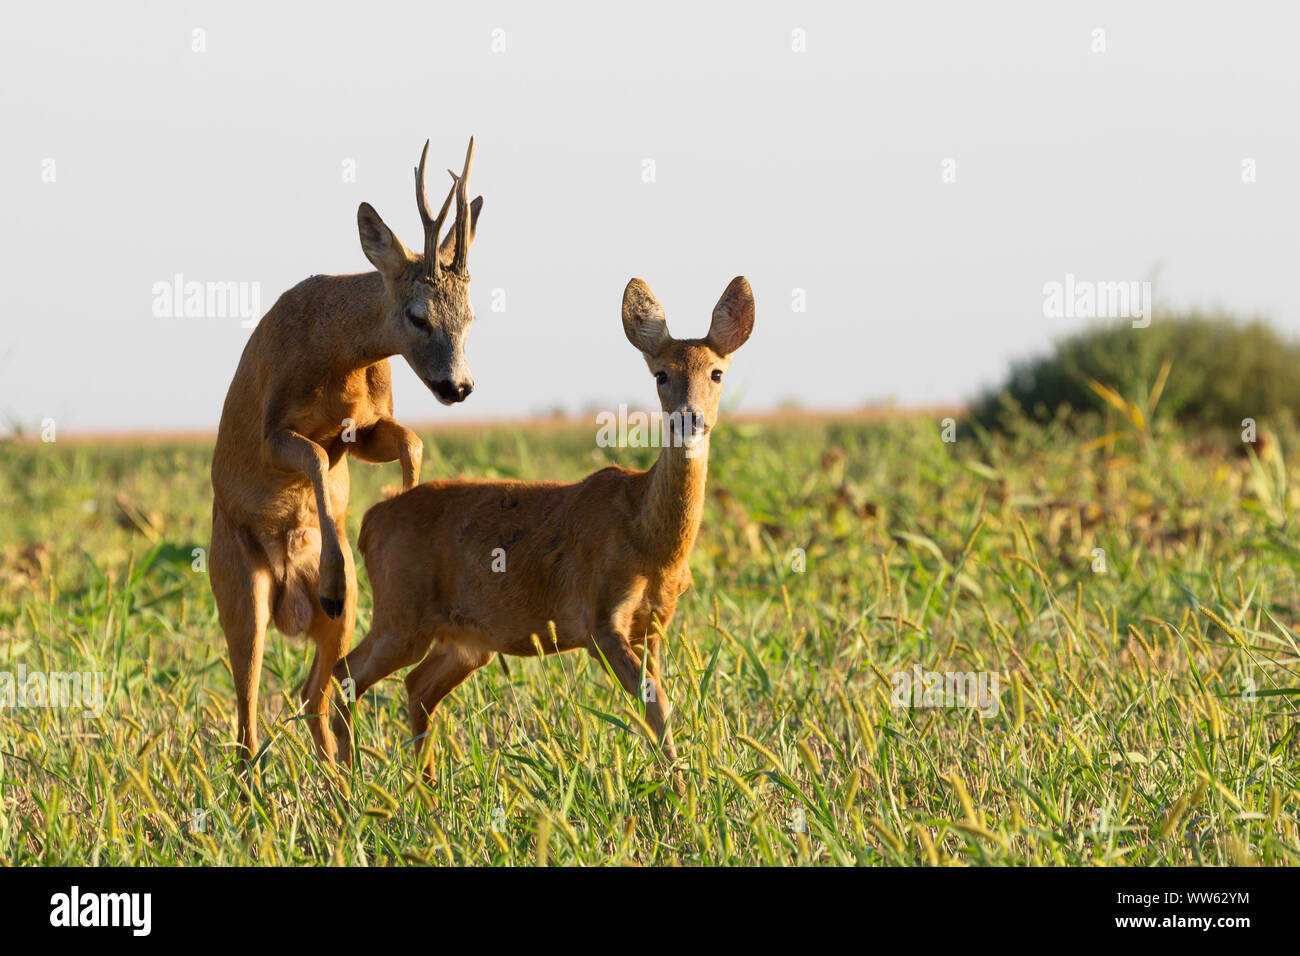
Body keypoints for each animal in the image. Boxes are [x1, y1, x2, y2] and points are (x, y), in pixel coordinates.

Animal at [209, 137, 484, 774]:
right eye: (417, 314)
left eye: (471, 315)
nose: (459, 387)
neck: (336, 357)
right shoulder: (273, 431)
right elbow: (311, 458)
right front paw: (333, 573)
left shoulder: (362, 430)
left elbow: (411, 441)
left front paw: (410, 511)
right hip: (237, 587)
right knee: (247, 710)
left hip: (351, 611)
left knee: (314, 691)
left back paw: (342, 780)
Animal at [330, 276, 755, 781]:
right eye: (661, 375)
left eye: (717, 373)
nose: (691, 417)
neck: (649, 540)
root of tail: (371, 521)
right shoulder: (599, 619)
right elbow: (655, 705)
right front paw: (679, 786)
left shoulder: (654, 623)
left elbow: (660, 701)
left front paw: (681, 780)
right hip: (401, 612)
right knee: (344, 674)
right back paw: (345, 782)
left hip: (466, 640)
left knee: (415, 687)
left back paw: (424, 787)